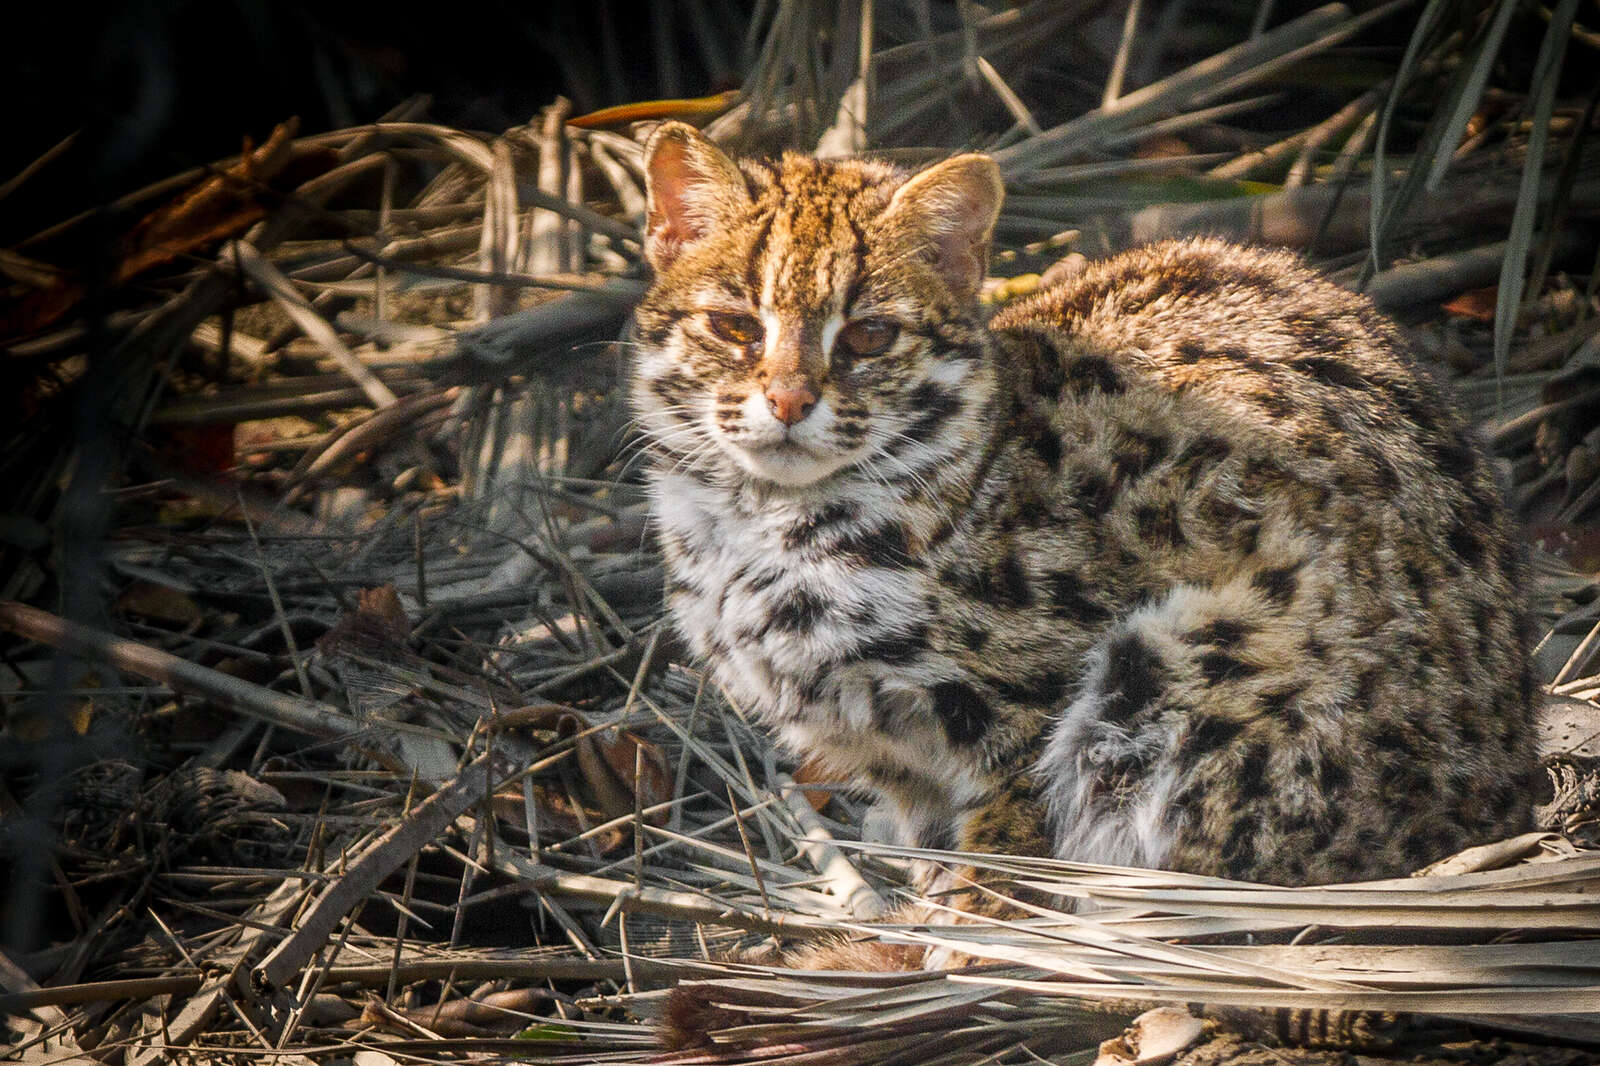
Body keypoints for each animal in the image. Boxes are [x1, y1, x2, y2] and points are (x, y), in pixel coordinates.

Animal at [624, 120, 1536, 915]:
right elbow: (934, 842)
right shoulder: (899, 765)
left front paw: (965, 941)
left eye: (871, 336)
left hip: (1197, 667)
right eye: (734, 325)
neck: (759, 525)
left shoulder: (1026, 715)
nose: (787, 402)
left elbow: (1004, 850)